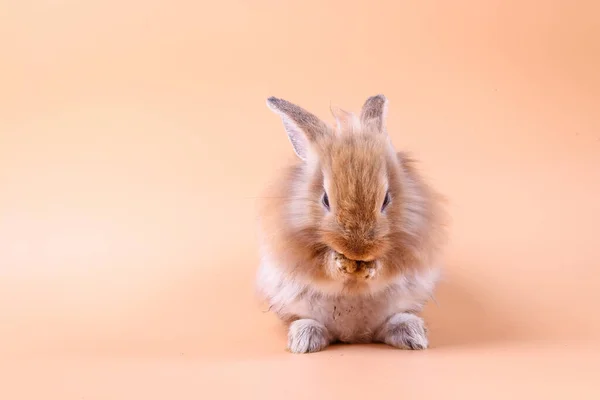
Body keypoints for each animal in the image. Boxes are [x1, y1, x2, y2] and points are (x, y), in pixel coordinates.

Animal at [255, 94, 448, 354]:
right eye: (325, 200)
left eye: (386, 199)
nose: (358, 251)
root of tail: (354, 335)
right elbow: (322, 264)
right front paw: (340, 263)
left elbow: (389, 265)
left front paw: (371, 267)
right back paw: (304, 341)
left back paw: (413, 337)